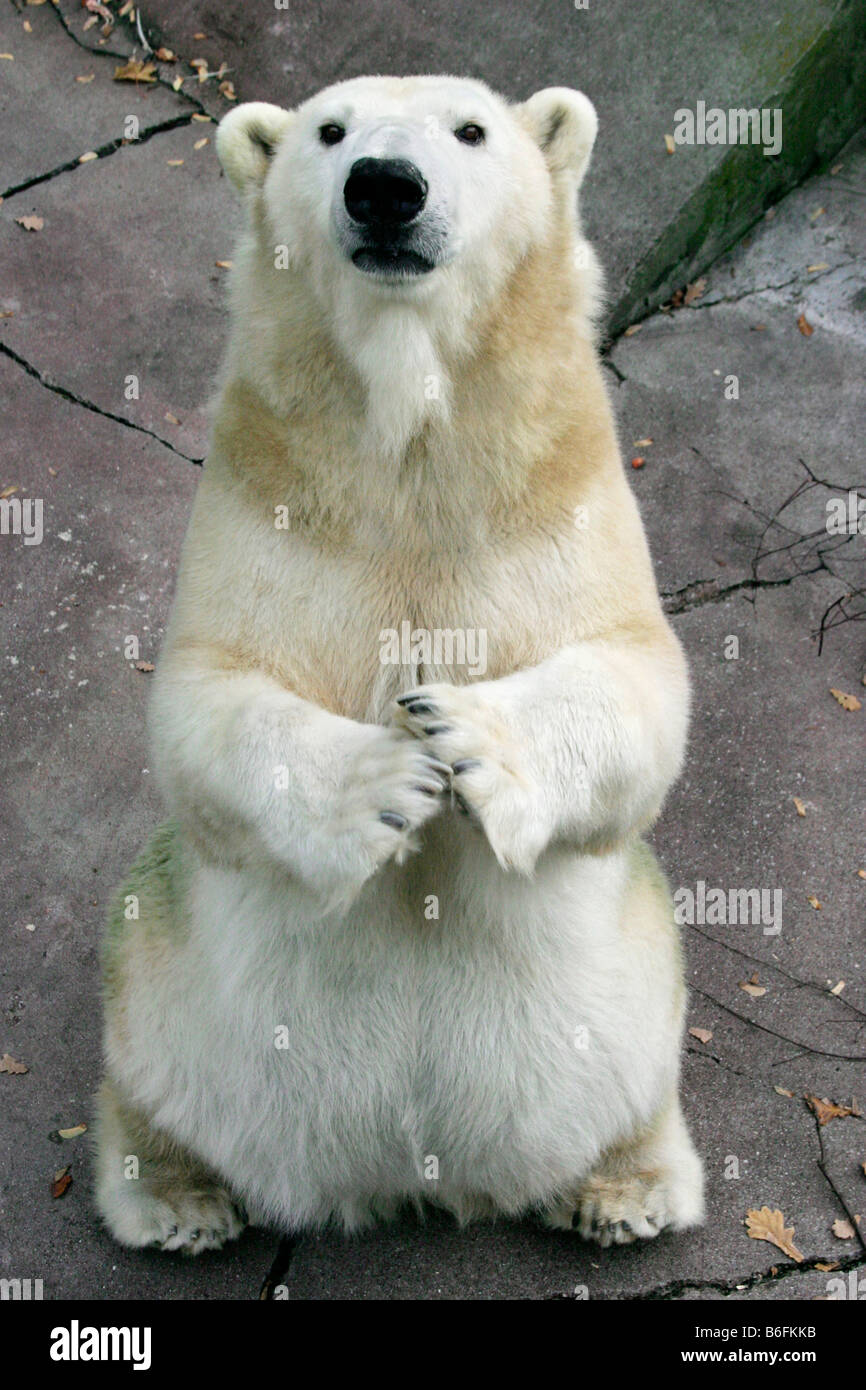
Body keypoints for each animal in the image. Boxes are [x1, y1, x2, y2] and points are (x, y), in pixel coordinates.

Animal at [93, 76, 706, 1256]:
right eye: (329, 130)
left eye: (471, 130)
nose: (385, 186)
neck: (415, 449)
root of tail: (408, 1180)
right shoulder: (269, 489)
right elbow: (205, 701)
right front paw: (392, 779)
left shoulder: (559, 487)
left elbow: (637, 681)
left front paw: (460, 736)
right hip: (169, 998)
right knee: (145, 1030)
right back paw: (179, 1200)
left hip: (633, 997)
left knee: (639, 1054)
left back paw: (622, 1191)